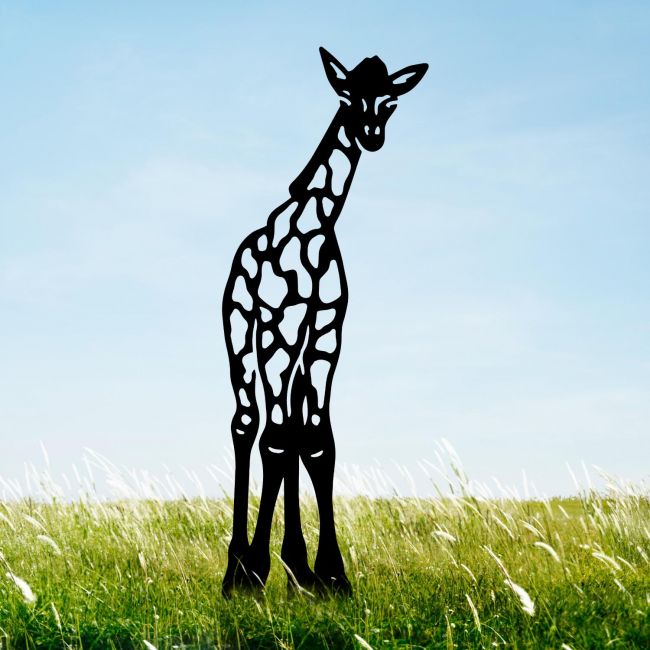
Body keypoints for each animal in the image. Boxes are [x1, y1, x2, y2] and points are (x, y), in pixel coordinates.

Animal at [222, 47, 428, 596]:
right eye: (347, 95)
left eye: (391, 101)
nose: (372, 136)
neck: (316, 224)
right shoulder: (279, 326)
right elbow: (276, 439)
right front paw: (256, 572)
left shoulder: (326, 334)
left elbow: (316, 438)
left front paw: (330, 575)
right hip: (242, 334)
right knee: (248, 422)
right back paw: (236, 569)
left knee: (288, 422)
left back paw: (295, 567)